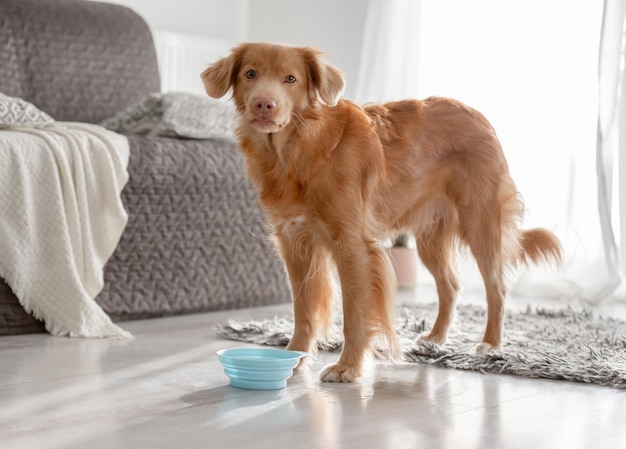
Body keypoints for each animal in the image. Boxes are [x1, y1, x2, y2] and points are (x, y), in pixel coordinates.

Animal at [204, 42, 560, 382]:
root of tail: (481, 119)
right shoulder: (296, 245)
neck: (301, 150)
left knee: (496, 289)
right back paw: (435, 338)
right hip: (430, 240)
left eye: (290, 79)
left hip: (481, 226)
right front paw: (294, 359)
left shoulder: (352, 247)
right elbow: (303, 313)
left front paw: (347, 368)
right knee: (450, 286)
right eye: (250, 74)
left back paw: (490, 344)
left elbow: (354, 315)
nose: (264, 104)